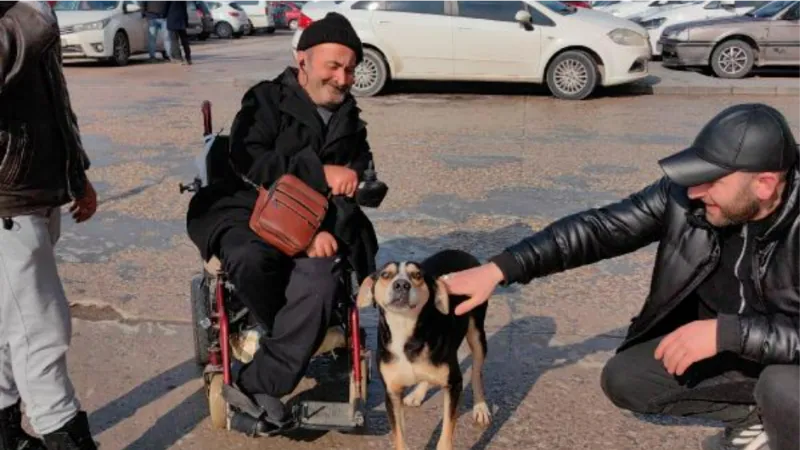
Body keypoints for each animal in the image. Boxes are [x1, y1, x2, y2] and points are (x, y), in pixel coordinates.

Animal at [358, 250, 494, 450]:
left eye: (417, 275)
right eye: (385, 275)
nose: (401, 285)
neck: (406, 331)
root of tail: (464, 253)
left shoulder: (454, 384)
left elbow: (446, 431)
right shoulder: (392, 392)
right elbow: (399, 436)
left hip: (477, 334)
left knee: (477, 372)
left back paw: (480, 407)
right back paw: (417, 394)